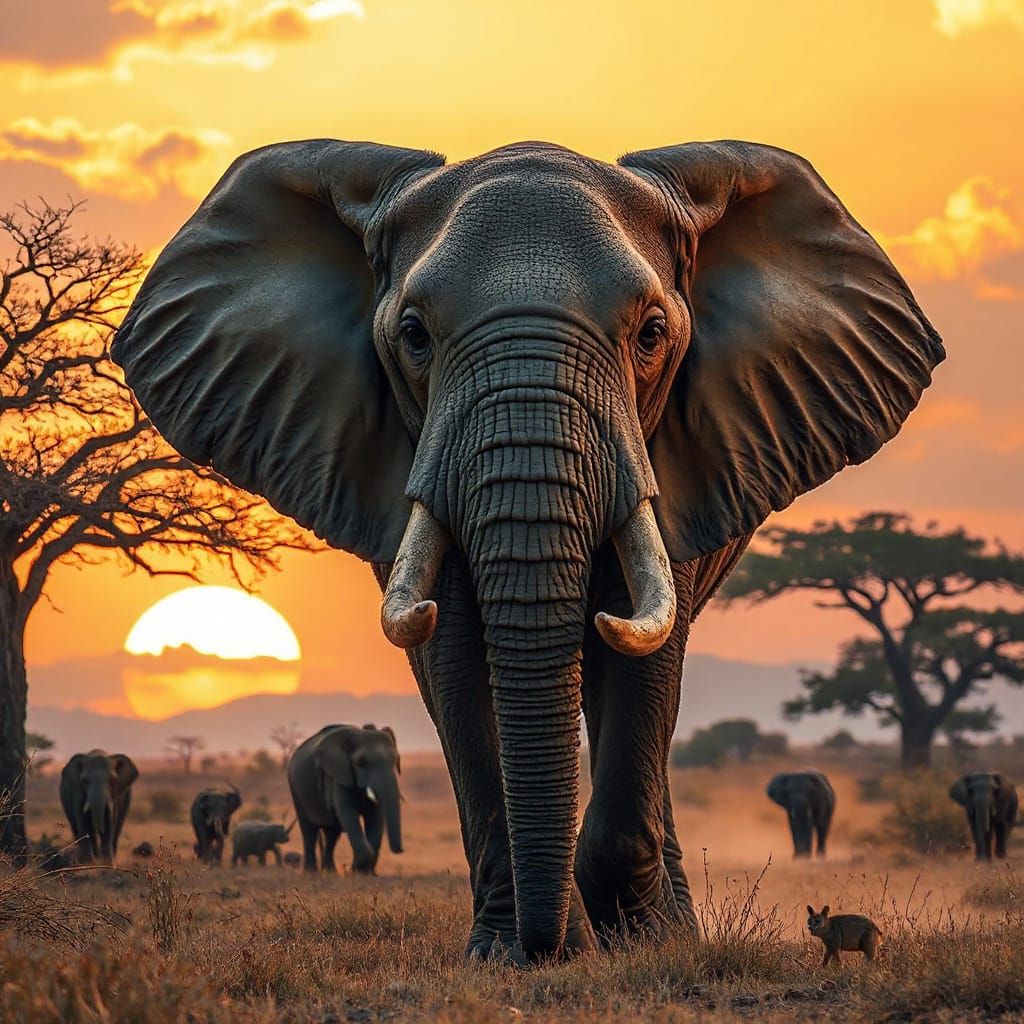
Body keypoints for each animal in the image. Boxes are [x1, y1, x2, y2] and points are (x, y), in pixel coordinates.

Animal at [287, 723, 403, 874]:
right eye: (361, 762)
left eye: (395, 760)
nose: (400, 850)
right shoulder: (339, 774)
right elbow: (347, 811)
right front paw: (356, 870)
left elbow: (375, 815)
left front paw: (365, 873)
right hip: (295, 787)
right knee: (308, 829)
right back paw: (310, 872)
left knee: (332, 832)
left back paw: (331, 872)